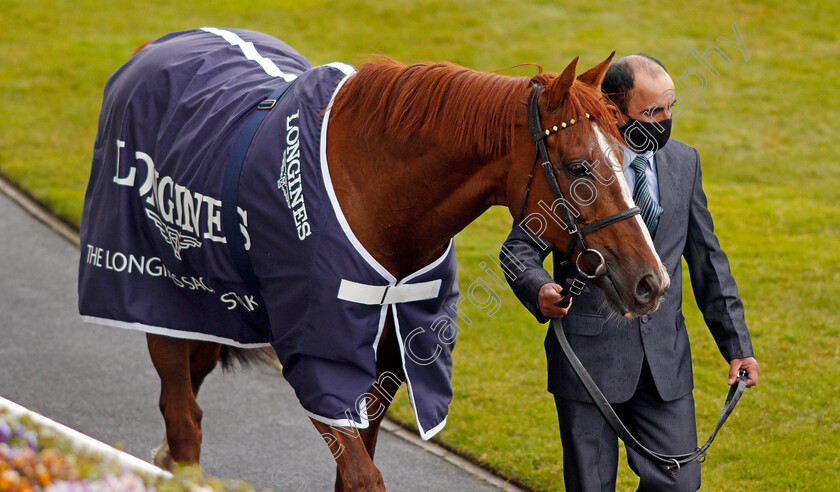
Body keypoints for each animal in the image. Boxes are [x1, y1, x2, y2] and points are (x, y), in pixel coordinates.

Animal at [141, 50, 668, 488]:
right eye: (579, 167)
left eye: (624, 155)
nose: (652, 282)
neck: (375, 198)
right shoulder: (320, 356)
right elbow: (362, 475)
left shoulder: (391, 361)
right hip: (161, 296)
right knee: (182, 416)